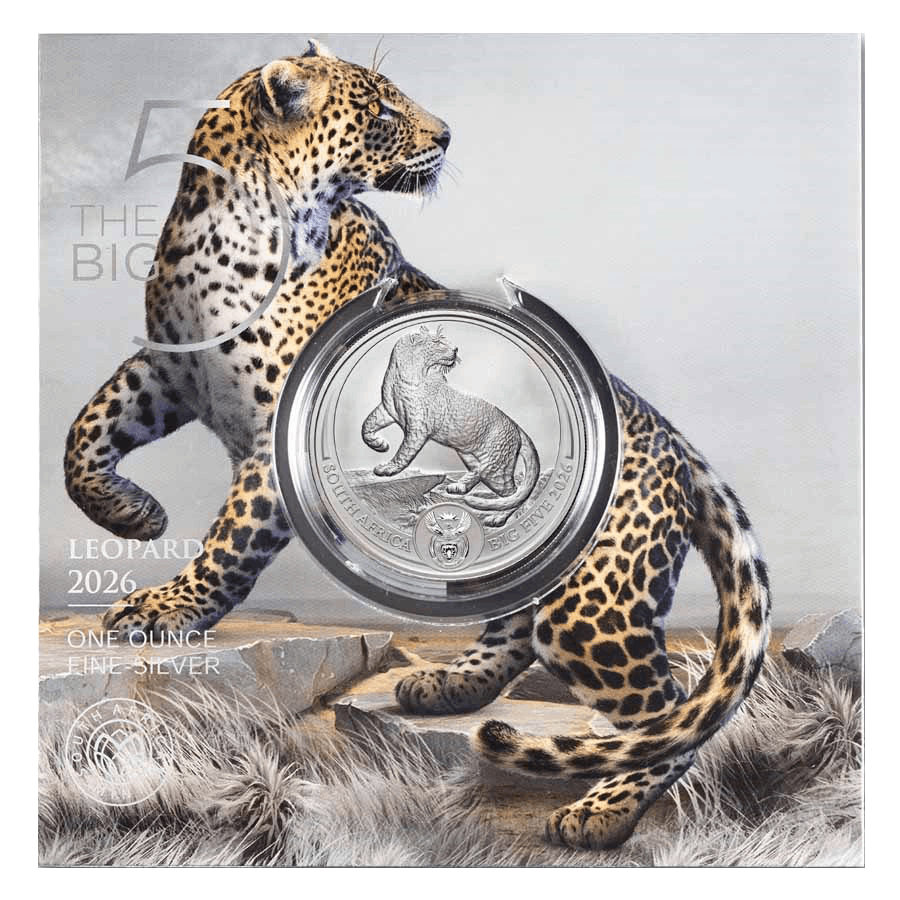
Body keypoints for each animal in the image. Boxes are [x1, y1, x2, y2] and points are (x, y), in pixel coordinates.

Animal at [361, 325, 540, 527]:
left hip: (497, 466)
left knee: (511, 490)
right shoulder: (387, 409)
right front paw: (379, 444)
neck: (401, 376)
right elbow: (367, 424)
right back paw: (463, 489)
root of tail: (516, 426)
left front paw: (388, 468)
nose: (455, 349)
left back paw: (493, 514)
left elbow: (404, 451)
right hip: (474, 457)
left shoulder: (417, 427)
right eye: (437, 341)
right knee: (488, 476)